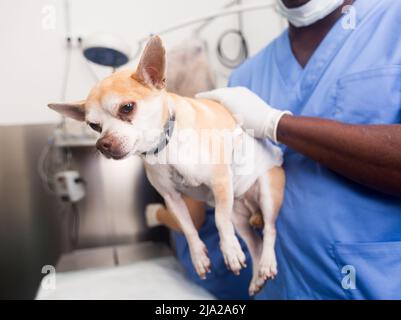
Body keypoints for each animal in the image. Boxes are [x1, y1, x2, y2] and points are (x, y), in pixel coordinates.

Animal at [47, 35, 284, 296]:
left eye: (127, 108)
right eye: (94, 126)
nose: (102, 144)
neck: (166, 148)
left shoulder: (221, 183)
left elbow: (220, 221)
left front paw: (230, 251)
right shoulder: (171, 198)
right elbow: (188, 228)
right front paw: (198, 257)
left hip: (266, 193)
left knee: (269, 230)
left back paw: (267, 262)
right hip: (239, 215)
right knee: (254, 243)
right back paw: (257, 277)